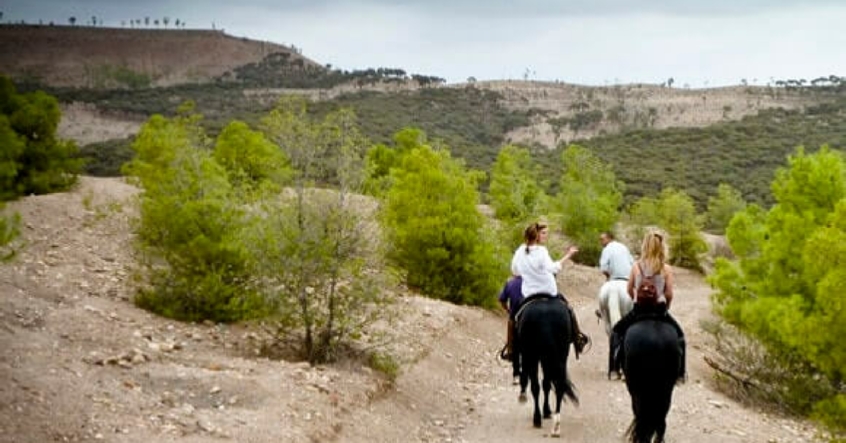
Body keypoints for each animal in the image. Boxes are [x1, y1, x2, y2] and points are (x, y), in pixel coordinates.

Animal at [512, 298, 580, 438]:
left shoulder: (532, 356)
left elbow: (537, 385)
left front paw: (540, 414)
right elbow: (547, 384)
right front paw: (547, 411)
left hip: (533, 355)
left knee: (536, 386)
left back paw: (538, 419)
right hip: (560, 355)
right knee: (559, 385)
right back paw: (556, 426)